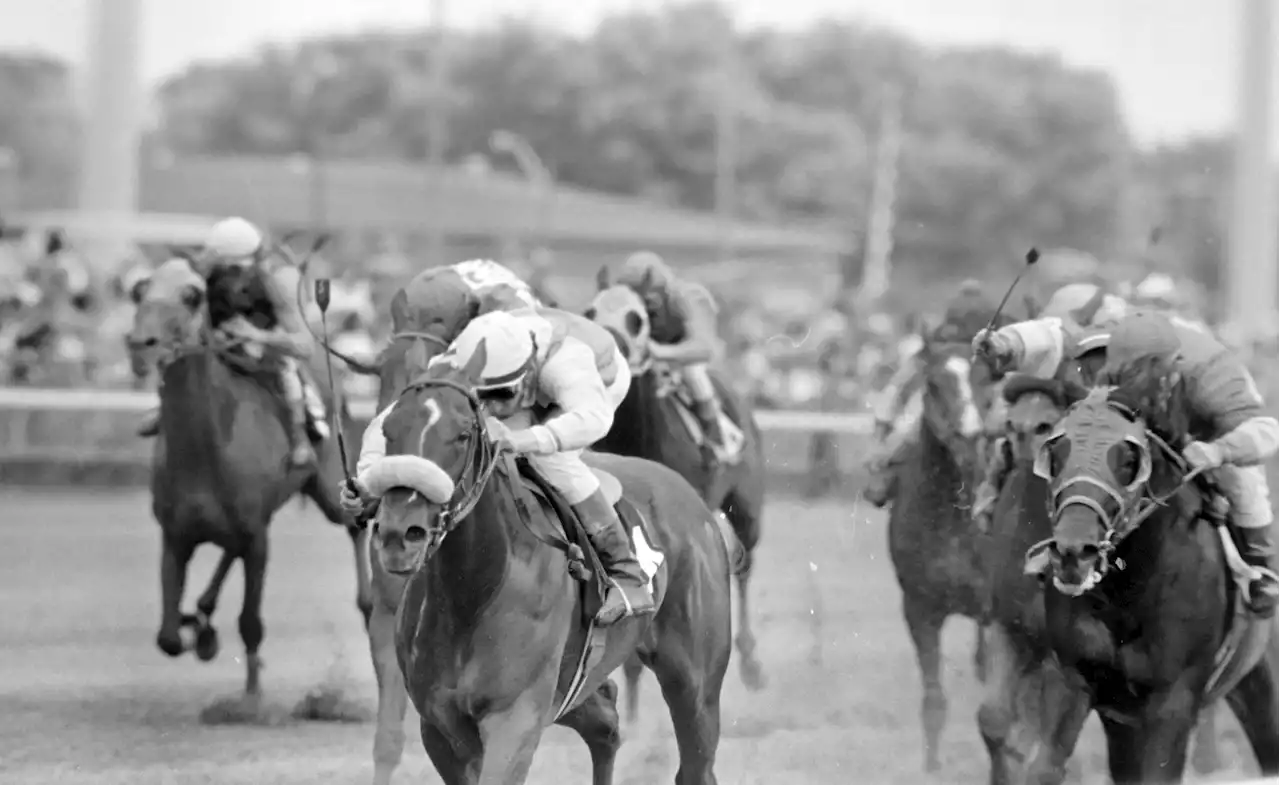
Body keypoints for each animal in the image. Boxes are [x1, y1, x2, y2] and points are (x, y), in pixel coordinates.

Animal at [366, 343, 737, 783]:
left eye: (462, 434)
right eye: (388, 430)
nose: (398, 534)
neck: (473, 590)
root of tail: (698, 506)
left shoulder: (515, 719)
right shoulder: (440, 728)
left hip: (695, 682)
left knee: (695, 762)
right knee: (606, 722)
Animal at [588, 281, 768, 717]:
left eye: (637, 319)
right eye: (591, 311)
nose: (611, 345)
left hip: (746, 511)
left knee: (745, 569)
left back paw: (751, 664)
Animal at [1029, 386, 1280, 783]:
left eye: (1129, 460)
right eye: (1057, 453)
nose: (1073, 552)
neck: (1127, 596)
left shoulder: (1173, 699)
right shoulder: (1073, 679)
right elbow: (1044, 766)